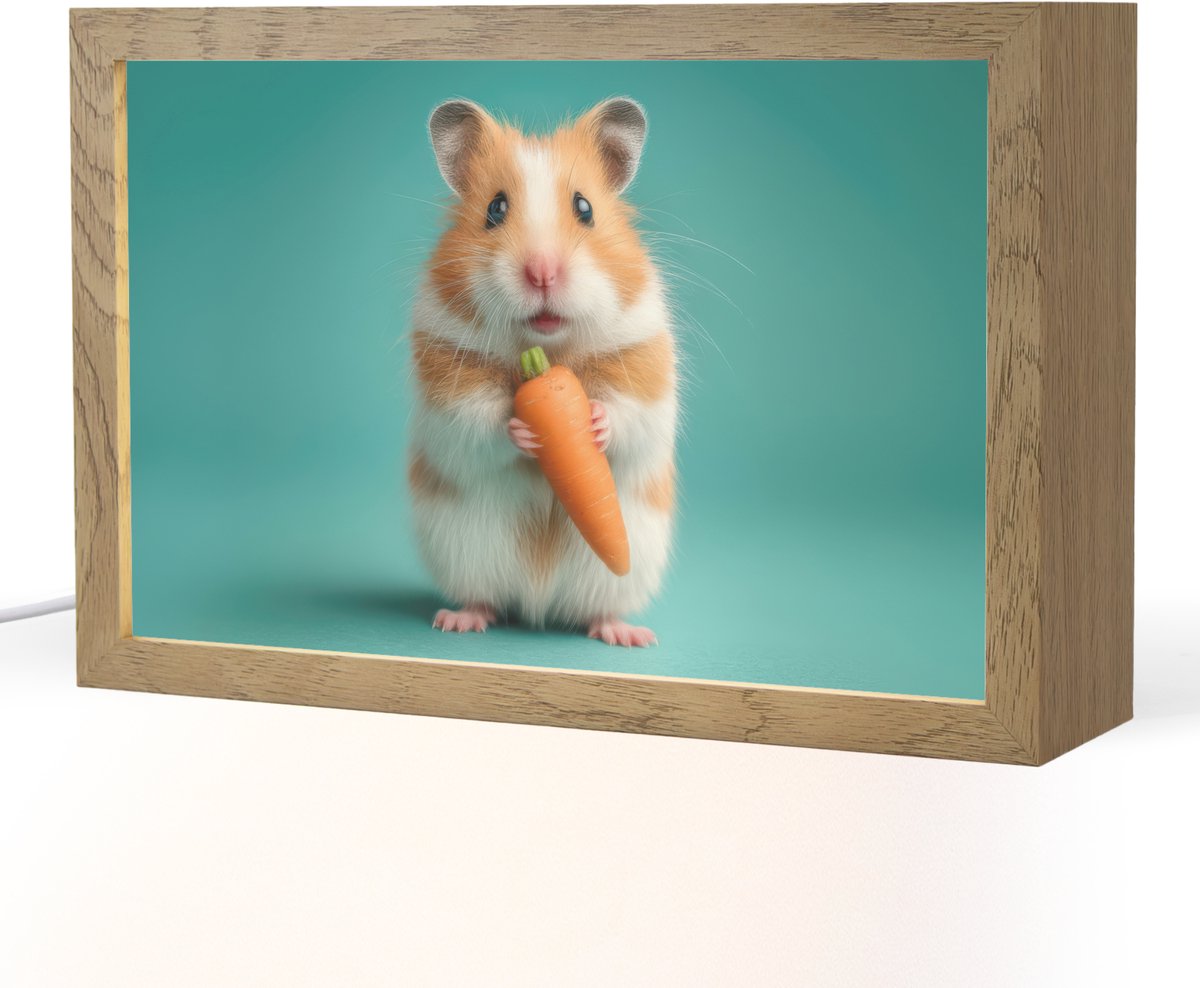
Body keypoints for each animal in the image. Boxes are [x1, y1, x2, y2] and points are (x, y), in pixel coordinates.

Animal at [408, 97, 677, 647]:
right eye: (494, 209)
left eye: (585, 208)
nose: (542, 272)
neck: (545, 357)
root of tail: (537, 604)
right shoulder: (446, 378)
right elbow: (478, 422)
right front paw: (524, 430)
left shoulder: (645, 363)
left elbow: (630, 415)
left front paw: (593, 422)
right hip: (463, 549)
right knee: (483, 596)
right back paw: (459, 621)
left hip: (621, 567)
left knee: (600, 606)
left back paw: (628, 635)